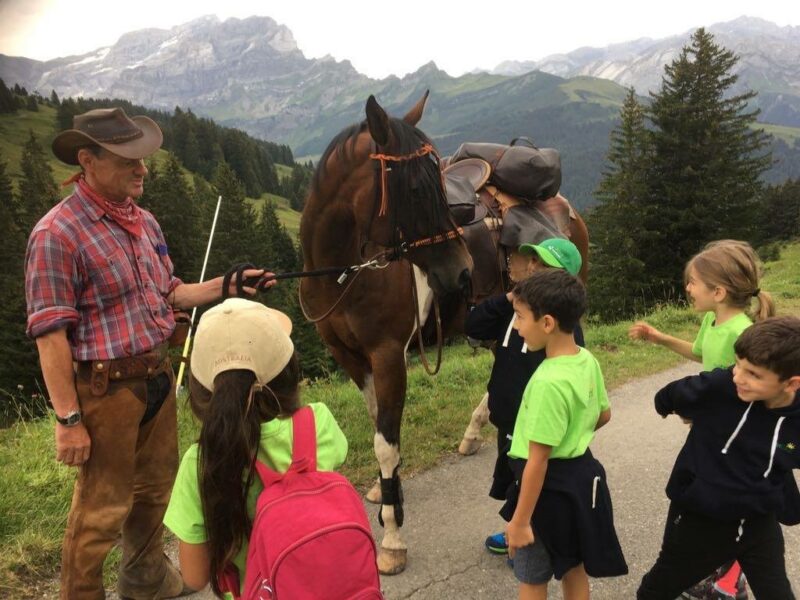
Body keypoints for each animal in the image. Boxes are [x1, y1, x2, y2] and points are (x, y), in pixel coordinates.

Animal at [300, 91, 476, 576]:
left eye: (440, 181)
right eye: (415, 189)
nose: (463, 272)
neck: (344, 274)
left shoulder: (387, 353)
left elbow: (385, 441)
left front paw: (393, 535)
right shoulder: (348, 355)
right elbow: (379, 422)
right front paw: (387, 494)